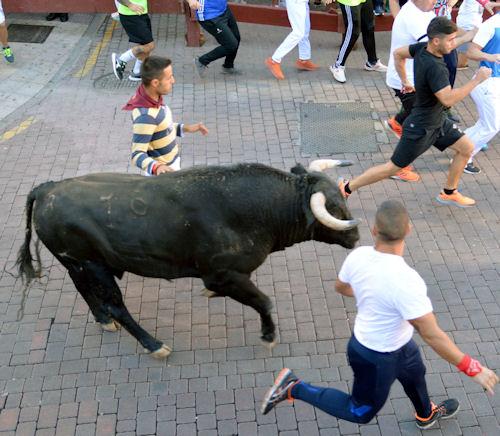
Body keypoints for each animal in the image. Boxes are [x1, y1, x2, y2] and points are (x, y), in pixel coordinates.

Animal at [16, 162, 360, 360]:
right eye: (333, 206)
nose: (356, 235)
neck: (258, 209)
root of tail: (48, 188)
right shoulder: (224, 273)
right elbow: (263, 301)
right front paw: (269, 336)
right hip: (94, 265)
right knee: (116, 304)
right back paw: (154, 345)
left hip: (76, 263)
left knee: (85, 291)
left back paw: (103, 321)